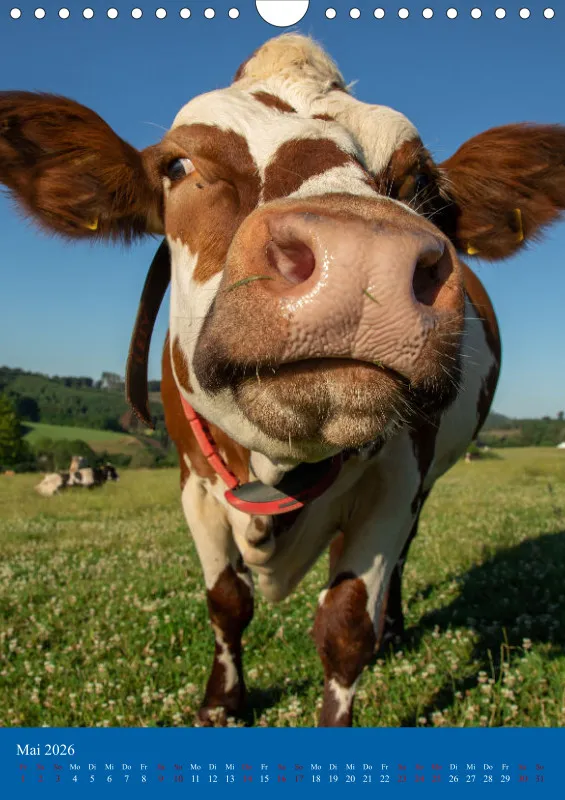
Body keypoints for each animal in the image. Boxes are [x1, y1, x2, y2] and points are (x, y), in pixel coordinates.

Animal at [2, 34, 564, 726]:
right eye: (177, 166)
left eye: (422, 182)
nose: (362, 257)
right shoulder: (193, 483)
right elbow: (227, 602)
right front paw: (222, 703)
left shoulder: (398, 477)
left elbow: (345, 628)